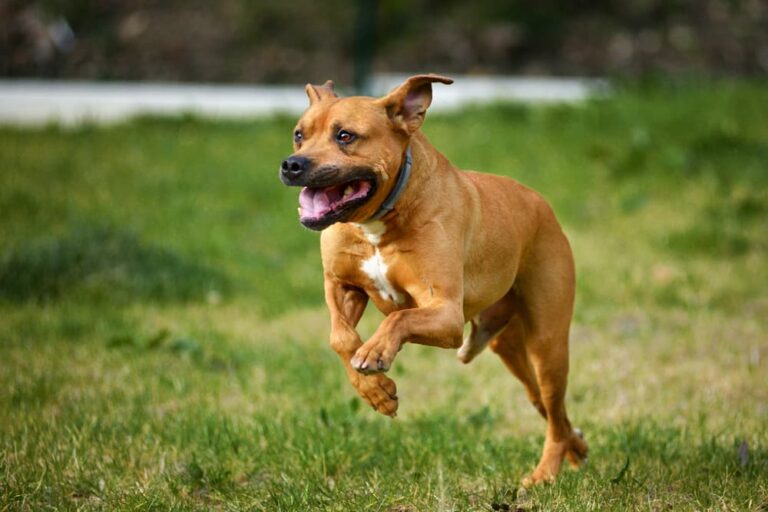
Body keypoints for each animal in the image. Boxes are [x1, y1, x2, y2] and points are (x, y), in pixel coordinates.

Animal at [280, 74, 588, 486]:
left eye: (345, 136)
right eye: (299, 135)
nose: (292, 165)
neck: (377, 220)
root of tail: (542, 205)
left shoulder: (445, 314)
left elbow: (399, 318)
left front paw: (376, 353)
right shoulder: (341, 286)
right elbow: (340, 338)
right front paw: (377, 392)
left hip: (548, 344)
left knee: (553, 409)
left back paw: (544, 474)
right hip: (510, 350)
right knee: (547, 406)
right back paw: (576, 446)